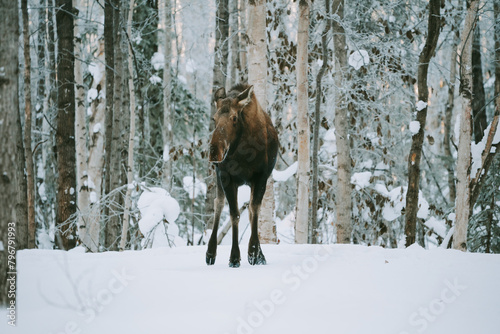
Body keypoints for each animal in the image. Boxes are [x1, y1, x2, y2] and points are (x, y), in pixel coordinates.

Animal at [205, 84, 280, 268]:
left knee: (251, 210)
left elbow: (254, 210)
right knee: (218, 204)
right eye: (214, 119)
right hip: (219, 177)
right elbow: (234, 214)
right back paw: (210, 252)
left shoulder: (261, 177)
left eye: (234, 118)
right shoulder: (226, 176)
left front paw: (254, 252)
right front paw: (234, 257)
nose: (214, 152)